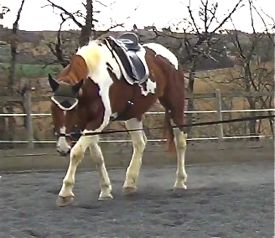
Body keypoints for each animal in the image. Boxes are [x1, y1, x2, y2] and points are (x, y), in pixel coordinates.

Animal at [48, 34, 189, 206]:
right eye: (53, 108)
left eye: (73, 109)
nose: (62, 148)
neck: (93, 77)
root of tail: (170, 57)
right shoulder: (88, 124)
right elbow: (97, 157)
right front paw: (105, 190)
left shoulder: (97, 121)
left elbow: (77, 153)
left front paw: (66, 192)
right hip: (133, 114)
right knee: (140, 143)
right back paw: (130, 183)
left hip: (175, 105)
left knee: (180, 141)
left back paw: (180, 182)